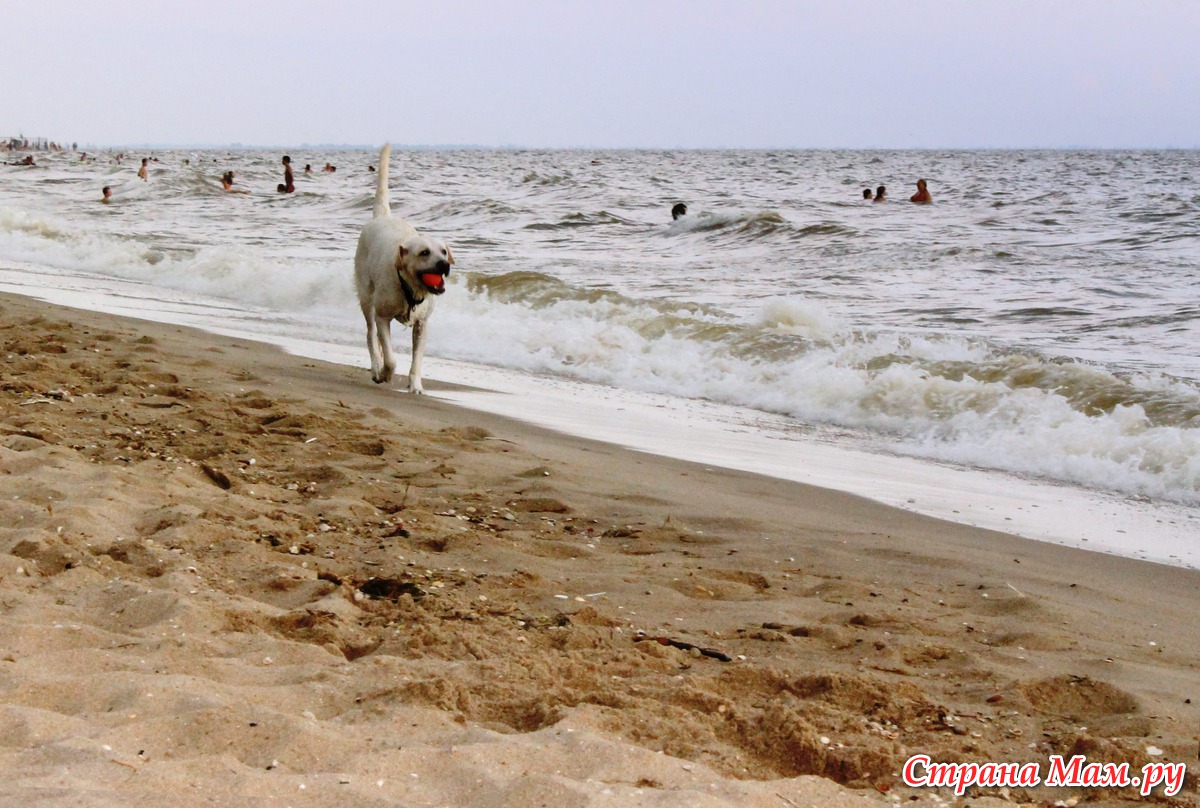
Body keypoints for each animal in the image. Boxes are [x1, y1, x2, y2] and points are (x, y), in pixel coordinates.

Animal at [355, 145, 453, 396]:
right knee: (370, 335)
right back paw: (376, 367)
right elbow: (391, 358)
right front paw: (385, 373)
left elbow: (416, 361)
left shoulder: (422, 325)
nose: (444, 264)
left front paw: (415, 386)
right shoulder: (382, 317)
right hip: (366, 298)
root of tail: (383, 216)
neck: (410, 289)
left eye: (443, 251)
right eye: (424, 253)